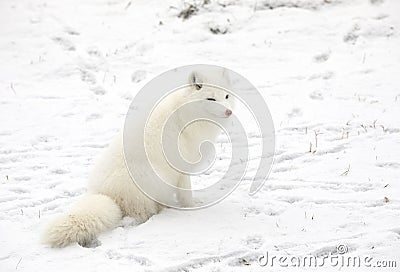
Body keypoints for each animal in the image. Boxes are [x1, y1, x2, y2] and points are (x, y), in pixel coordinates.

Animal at [43, 69, 234, 246]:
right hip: (156, 179)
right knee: (144, 212)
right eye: (211, 99)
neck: (185, 116)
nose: (229, 112)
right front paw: (193, 207)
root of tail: (103, 194)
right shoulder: (182, 168)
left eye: (226, 96)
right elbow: (186, 193)